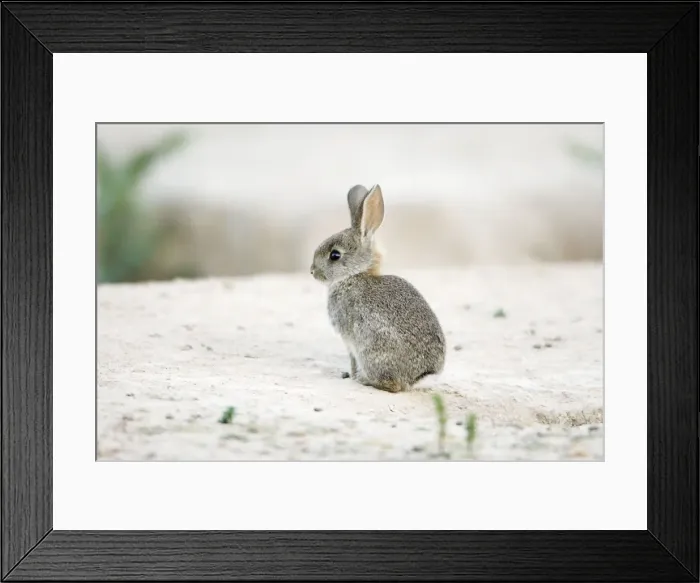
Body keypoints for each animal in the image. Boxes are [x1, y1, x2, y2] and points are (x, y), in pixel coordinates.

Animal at [310, 184, 446, 393]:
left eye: (335, 255)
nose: (312, 271)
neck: (355, 275)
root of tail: (419, 376)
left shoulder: (350, 340)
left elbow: (352, 360)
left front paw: (352, 376)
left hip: (372, 350)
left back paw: (364, 380)